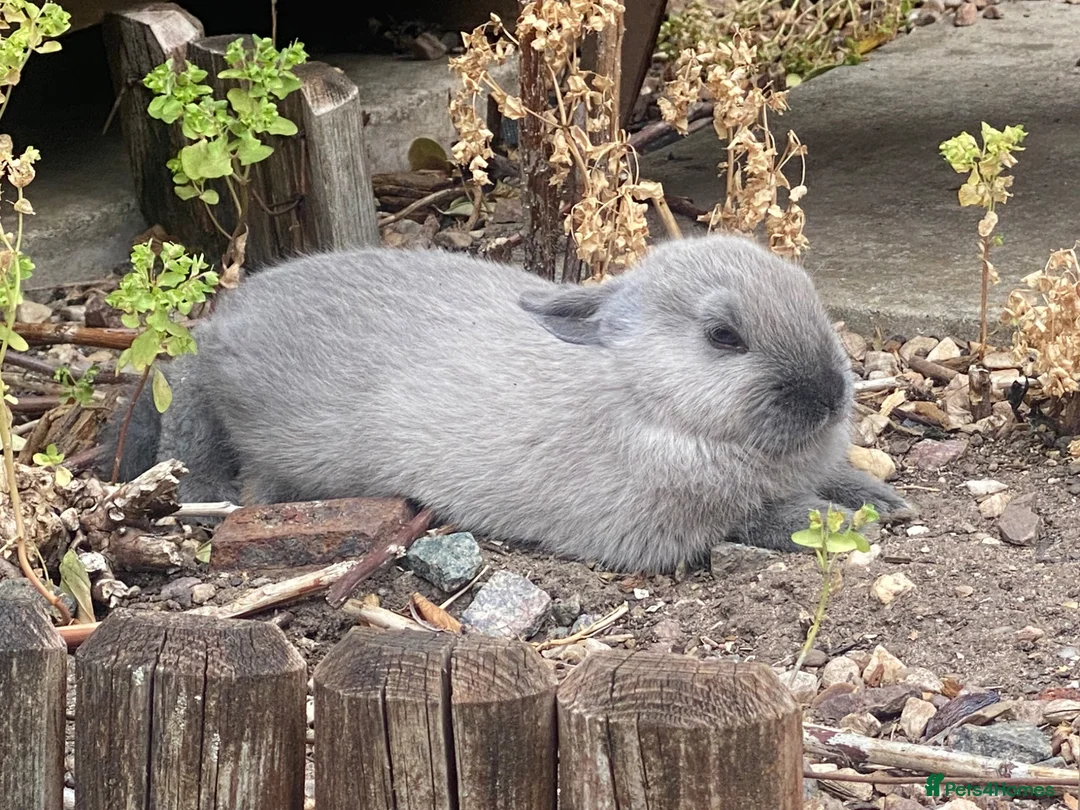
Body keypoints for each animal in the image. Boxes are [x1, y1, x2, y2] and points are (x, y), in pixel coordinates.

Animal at [100, 233, 910, 573]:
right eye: (722, 337)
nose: (828, 395)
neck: (645, 393)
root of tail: (223, 333)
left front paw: (879, 498)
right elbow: (765, 518)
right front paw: (840, 523)